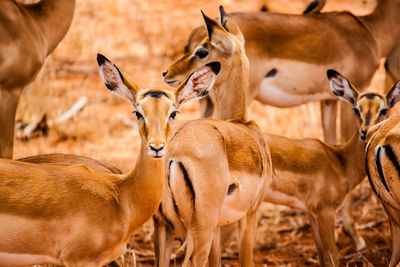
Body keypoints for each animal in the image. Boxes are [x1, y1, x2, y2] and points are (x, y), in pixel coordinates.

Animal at [153, 10, 272, 267]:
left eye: (201, 51)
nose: (166, 73)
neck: (242, 125)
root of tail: (174, 155)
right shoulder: (250, 214)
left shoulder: (219, 227)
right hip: (199, 232)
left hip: (165, 229)